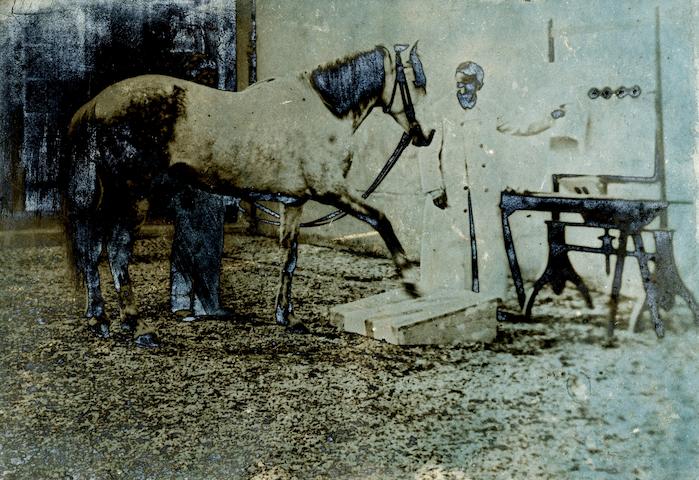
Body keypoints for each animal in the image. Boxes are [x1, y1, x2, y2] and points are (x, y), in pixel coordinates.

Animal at [63, 42, 435, 347]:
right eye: (417, 81)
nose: (427, 134)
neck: (323, 108)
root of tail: (97, 103)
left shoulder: (294, 203)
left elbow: (289, 258)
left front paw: (287, 317)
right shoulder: (331, 190)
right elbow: (381, 220)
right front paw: (410, 281)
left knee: (91, 248)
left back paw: (100, 319)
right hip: (132, 196)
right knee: (116, 250)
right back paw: (137, 326)